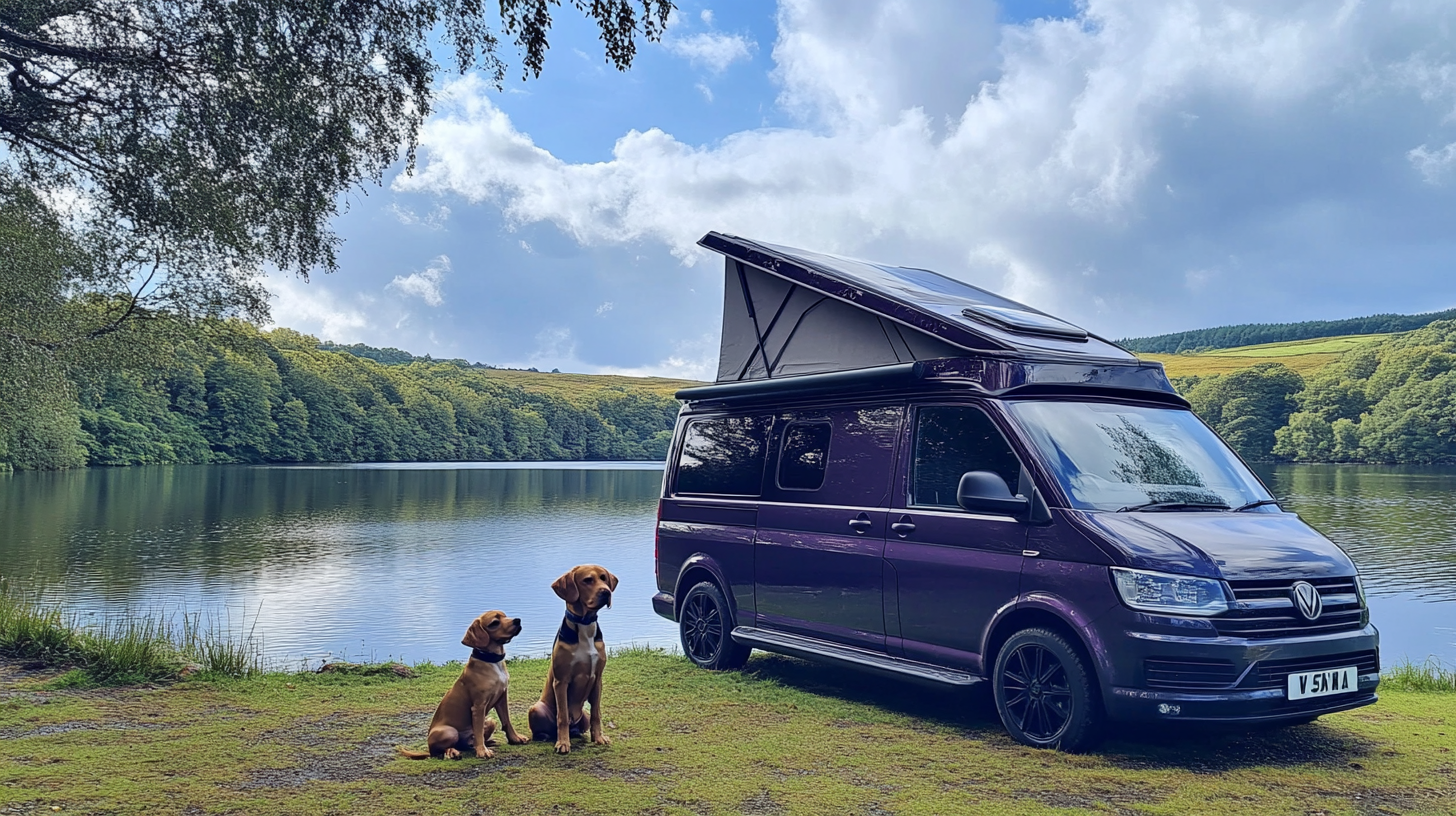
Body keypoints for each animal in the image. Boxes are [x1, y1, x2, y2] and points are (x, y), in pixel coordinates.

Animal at [398, 612, 529, 757]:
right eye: (494, 623)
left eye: (505, 615)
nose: (517, 620)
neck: (492, 662)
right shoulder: (478, 706)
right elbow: (478, 731)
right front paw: (482, 751)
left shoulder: (502, 698)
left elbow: (506, 721)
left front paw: (515, 738)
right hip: (450, 732)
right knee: (439, 751)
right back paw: (453, 752)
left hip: (490, 720)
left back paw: (486, 743)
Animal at [529, 568, 620, 751]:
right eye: (587, 580)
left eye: (604, 578)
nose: (606, 592)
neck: (584, 625)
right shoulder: (561, 681)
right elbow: (562, 716)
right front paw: (563, 743)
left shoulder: (598, 680)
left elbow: (596, 714)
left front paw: (598, 738)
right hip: (535, 708)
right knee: (548, 728)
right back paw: (548, 736)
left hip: (583, 715)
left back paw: (577, 733)